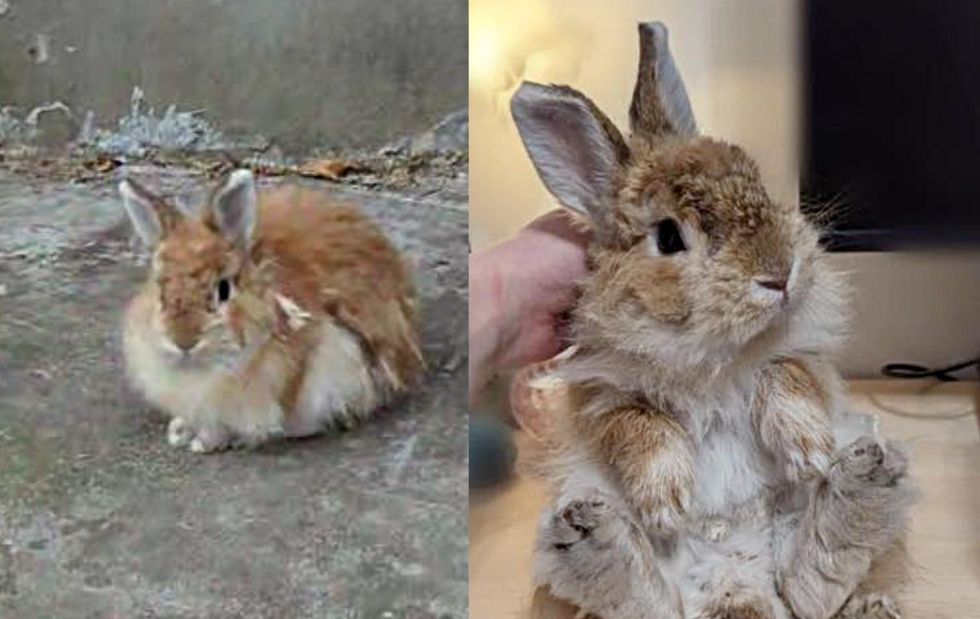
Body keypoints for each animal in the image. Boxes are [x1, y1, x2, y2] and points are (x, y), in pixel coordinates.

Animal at [510, 22, 916, 619]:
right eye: (667, 236)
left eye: (756, 185)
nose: (780, 273)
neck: (714, 356)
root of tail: (736, 589)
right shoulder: (601, 395)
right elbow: (638, 424)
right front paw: (666, 502)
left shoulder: (804, 356)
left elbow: (785, 376)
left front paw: (809, 450)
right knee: (648, 599)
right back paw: (590, 536)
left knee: (811, 587)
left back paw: (862, 484)